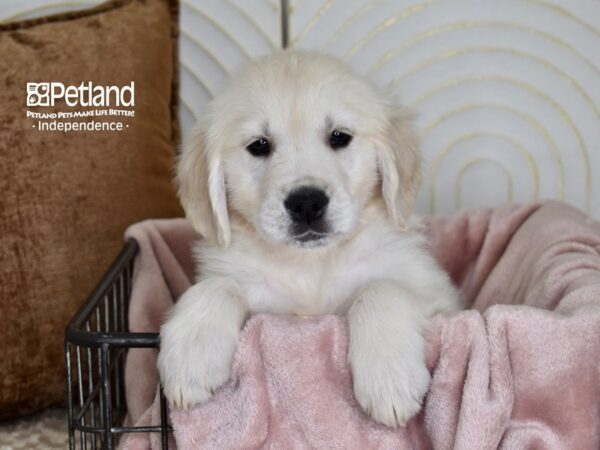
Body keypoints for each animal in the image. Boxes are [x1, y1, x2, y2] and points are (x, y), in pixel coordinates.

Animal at [157, 51, 458, 428]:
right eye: (259, 145)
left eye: (339, 137)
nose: (307, 203)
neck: (312, 264)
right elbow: (217, 286)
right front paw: (191, 354)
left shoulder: (440, 297)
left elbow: (380, 289)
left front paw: (389, 377)